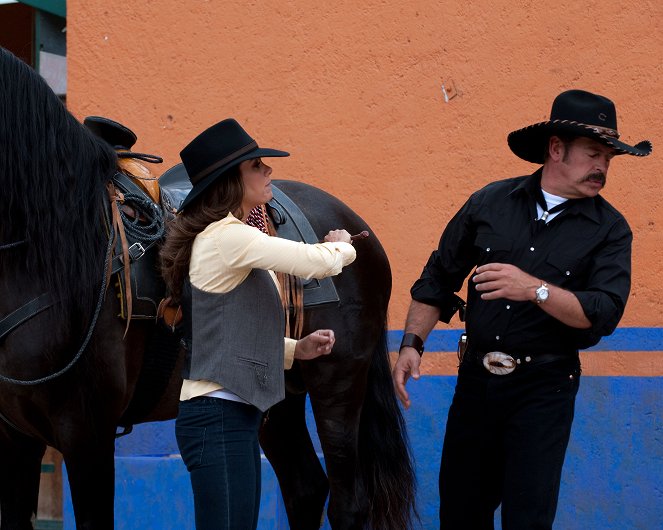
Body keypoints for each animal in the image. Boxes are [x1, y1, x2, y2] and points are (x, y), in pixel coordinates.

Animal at [0, 47, 416, 524]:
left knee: (348, 502)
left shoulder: (87, 432)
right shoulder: (16, 437)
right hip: (279, 395)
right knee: (305, 487)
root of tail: (358, 226)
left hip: (339, 384)